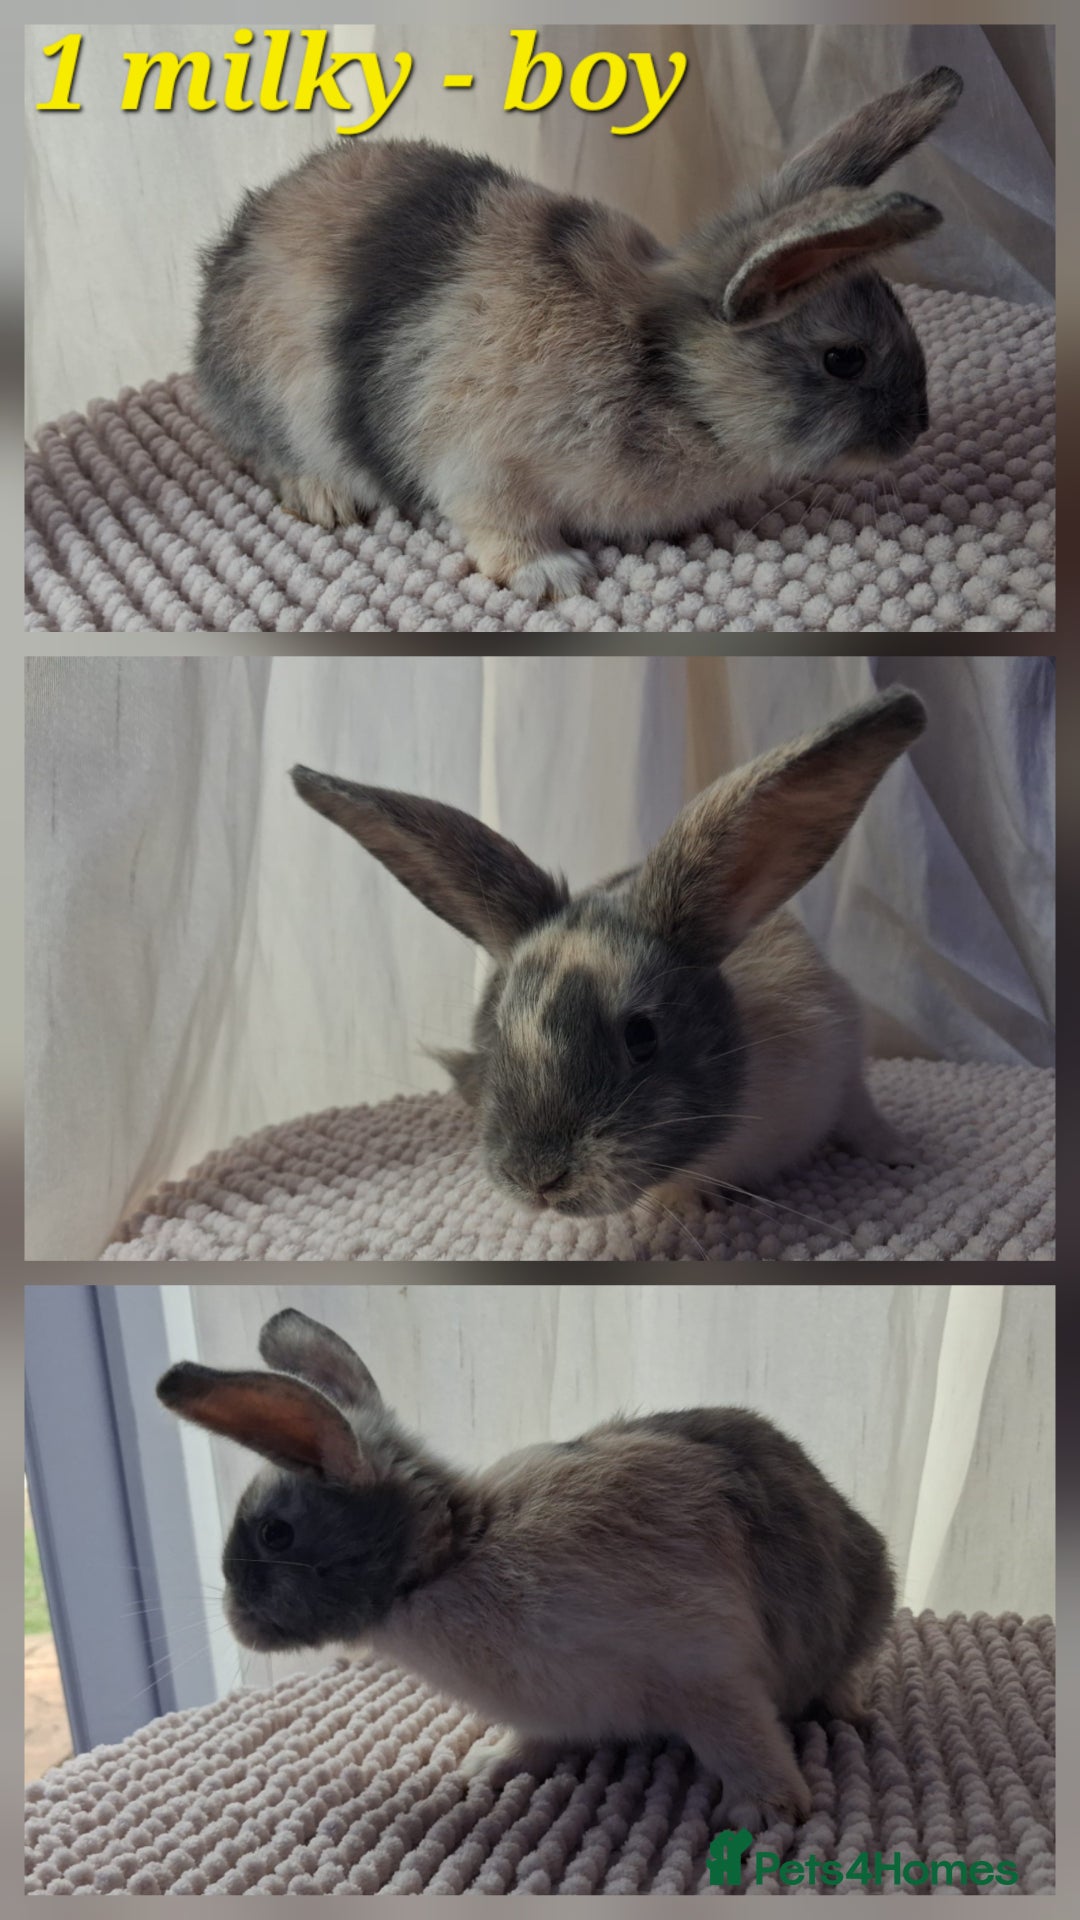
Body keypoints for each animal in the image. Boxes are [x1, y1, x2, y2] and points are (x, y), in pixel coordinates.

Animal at [157, 1306, 896, 1830]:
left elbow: (743, 1741)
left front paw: (767, 1813)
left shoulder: (707, 1671)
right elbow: (538, 1741)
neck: (449, 1556)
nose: (235, 1619)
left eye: (276, 1533)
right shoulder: (555, 1708)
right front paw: (490, 1766)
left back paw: (851, 1714)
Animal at [195, 67, 962, 602]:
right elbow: (501, 526)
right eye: (843, 359)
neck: (667, 371)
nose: (917, 429)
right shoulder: (482, 467)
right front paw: (554, 577)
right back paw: (324, 497)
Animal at [289, 684, 926, 1222]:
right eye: (495, 1033)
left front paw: (902, 1154)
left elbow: (862, 1114)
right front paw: (682, 1205)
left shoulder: (844, 1049)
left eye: (641, 1036)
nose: (537, 1180)